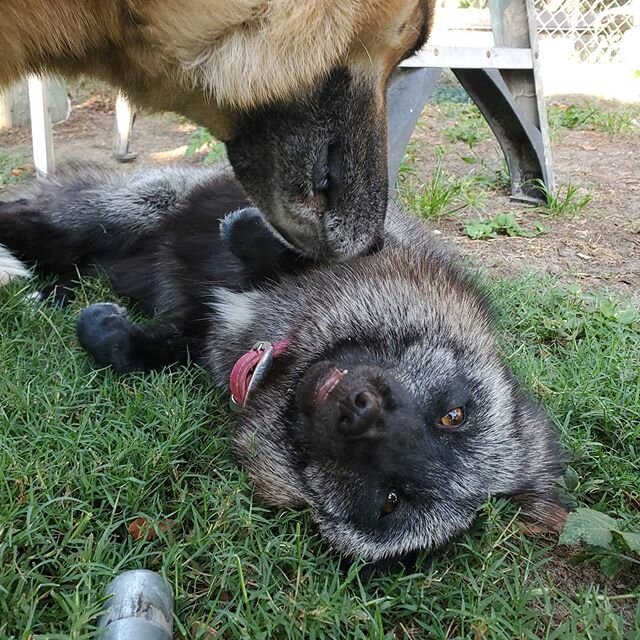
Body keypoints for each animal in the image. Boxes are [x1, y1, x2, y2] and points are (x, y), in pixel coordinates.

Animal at [0, 168, 564, 568]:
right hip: (126, 207)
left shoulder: (192, 332)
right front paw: (252, 234)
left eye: (389, 502)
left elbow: (130, 347)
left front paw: (103, 330)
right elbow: (300, 248)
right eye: (454, 415)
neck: (276, 349)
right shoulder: (368, 243)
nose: (361, 411)